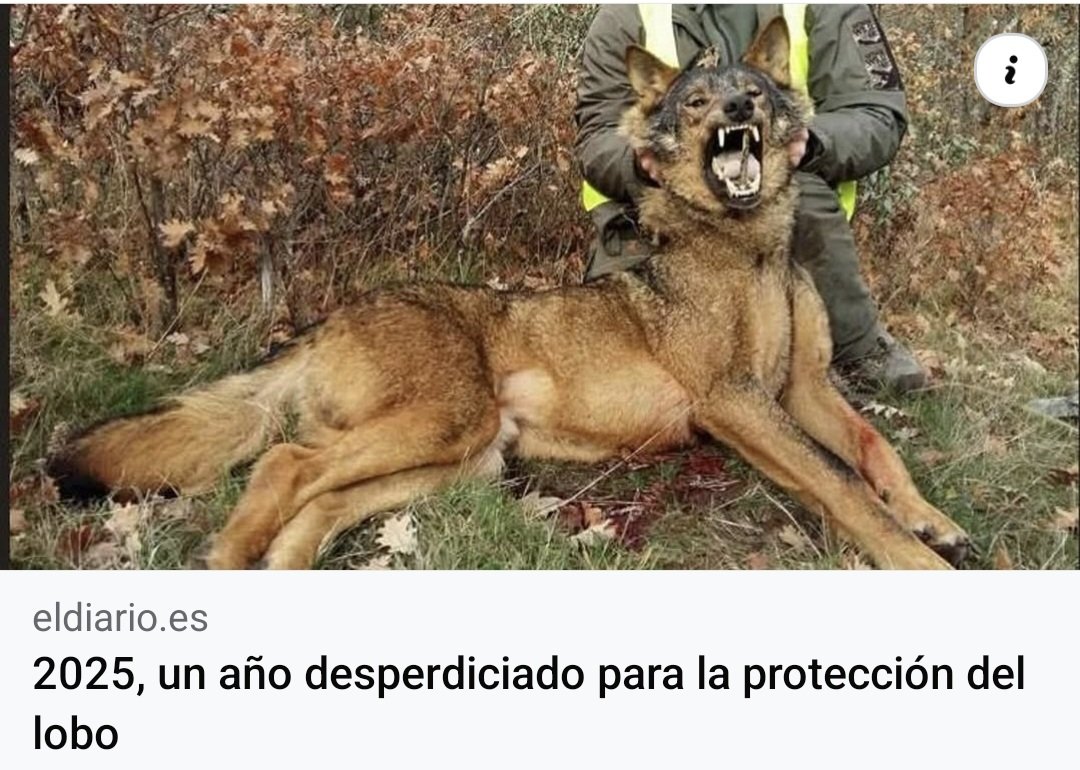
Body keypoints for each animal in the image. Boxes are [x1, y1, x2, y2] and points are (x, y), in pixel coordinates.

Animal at [47, 20, 970, 570]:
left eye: (759, 92)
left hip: (464, 455)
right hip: (443, 427)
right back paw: (233, 560)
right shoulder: (735, 399)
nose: (740, 106)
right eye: (697, 101)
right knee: (283, 461)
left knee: (318, 494)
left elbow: (874, 451)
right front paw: (919, 559)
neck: (748, 249)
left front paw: (931, 518)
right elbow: (841, 485)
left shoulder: (801, 389)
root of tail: (333, 317)